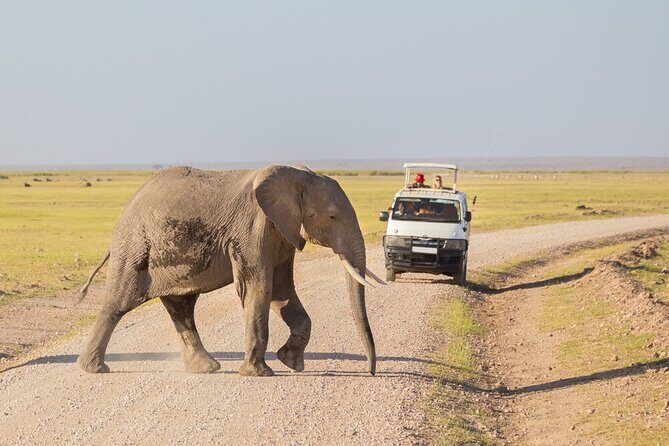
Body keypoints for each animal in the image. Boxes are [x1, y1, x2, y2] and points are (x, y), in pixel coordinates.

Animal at [75, 165, 383, 377]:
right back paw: (93, 369)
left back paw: (206, 368)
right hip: (136, 246)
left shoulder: (282, 233)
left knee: (181, 307)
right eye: (332, 217)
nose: (371, 372)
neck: (299, 175)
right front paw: (259, 374)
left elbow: (282, 291)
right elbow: (259, 289)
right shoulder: (252, 229)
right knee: (118, 304)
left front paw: (291, 362)